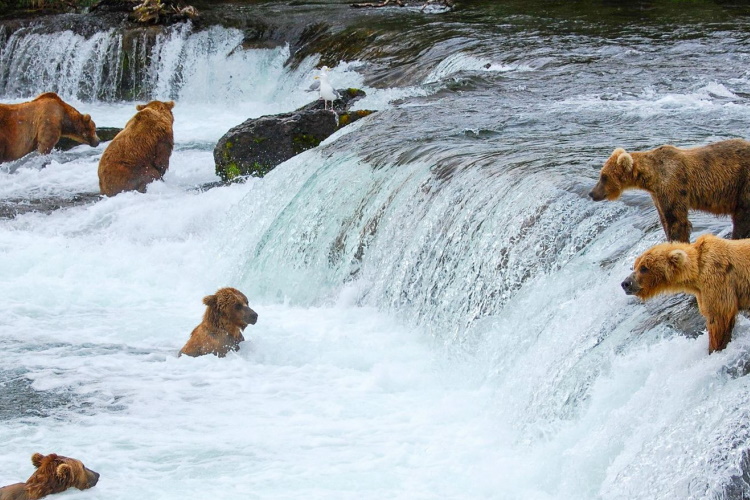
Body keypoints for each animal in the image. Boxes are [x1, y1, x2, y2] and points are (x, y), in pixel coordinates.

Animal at [592, 140, 750, 243]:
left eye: (604, 177)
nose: (592, 193)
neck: (652, 176)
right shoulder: (658, 195)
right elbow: (664, 219)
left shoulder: (673, 186)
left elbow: (676, 220)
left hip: (744, 183)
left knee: (742, 216)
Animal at [620, 233, 750, 354]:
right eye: (635, 266)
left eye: (644, 268)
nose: (625, 283)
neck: (696, 275)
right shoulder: (702, 292)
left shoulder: (718, 282)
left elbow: (719, 318)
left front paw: (714, 348)